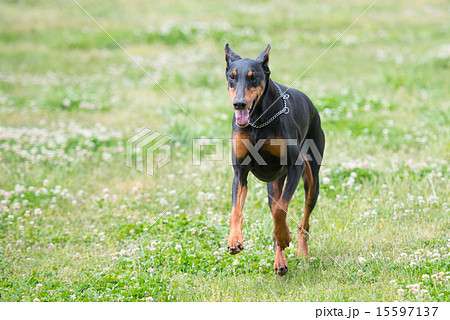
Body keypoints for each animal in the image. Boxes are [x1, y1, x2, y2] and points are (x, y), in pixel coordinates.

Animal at [224, 43, 324, 276]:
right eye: (232, 76)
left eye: (253, 77)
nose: (239, 104)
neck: (257, 121)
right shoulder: (240, 173)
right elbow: (235, 210)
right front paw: (234, 240)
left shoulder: (295, 167)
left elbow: (281, 210)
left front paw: (284, 236)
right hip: (274, 184)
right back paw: (281, 262)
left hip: (312, 181)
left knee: (303, 222)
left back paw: (301, 253)